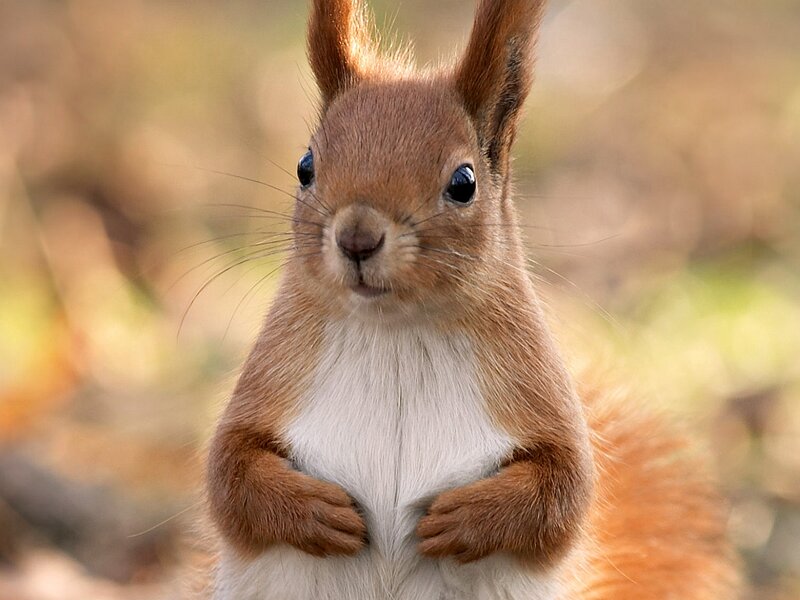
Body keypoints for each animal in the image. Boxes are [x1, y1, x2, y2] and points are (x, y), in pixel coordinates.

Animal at [203, 1, 740, 598]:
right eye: (305, 167)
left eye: (464, 182)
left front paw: (461, 520)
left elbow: (565, 490)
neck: (398, 333)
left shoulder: (536, 390)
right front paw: (320, 512)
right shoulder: (273, 376)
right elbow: (229, 474)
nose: (357, 238)